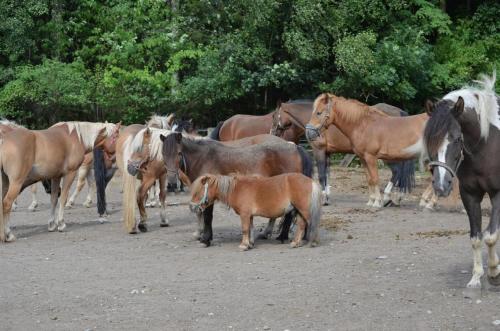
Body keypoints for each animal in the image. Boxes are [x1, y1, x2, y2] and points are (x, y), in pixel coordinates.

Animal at [159, 132, 312, 246]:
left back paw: (282, 236)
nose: (171, 183)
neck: (204, 158)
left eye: (179, 153)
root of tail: (294, 147)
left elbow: (207, 216)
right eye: (163, 154)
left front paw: (206, 239)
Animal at [188, 174, 320, 252]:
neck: (237, 189)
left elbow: (245, 229)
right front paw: (250, 244)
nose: (192, 207)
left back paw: (313, 242)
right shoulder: (249, 216)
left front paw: (243, 245)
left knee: (312, 223)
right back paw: (296, 243)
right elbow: (250, 229)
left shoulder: (245, 215)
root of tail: (310, 181)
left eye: (198, 192)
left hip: (304, 210)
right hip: (299, 210)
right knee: (302, 225)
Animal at [422, 72, 500, 288]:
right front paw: (476, 277)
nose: (441, 186)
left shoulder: (498, 193)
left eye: (457, 138)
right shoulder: (469, 195)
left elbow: (491, 235)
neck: (487, 147)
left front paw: (494, 272)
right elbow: (476, 237)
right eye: (429, 140)